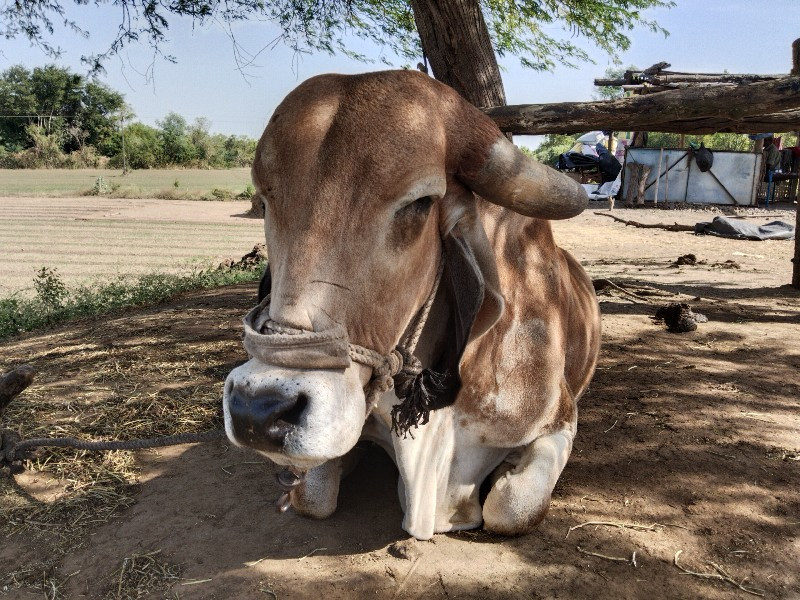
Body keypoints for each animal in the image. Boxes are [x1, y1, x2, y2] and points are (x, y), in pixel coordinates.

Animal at [223, 70, 600, 540]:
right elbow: (312, 497)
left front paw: (504, 476)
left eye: (419, 203)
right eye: (266, 198)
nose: (258, 410)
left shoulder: (561, 418)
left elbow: (512, 506)